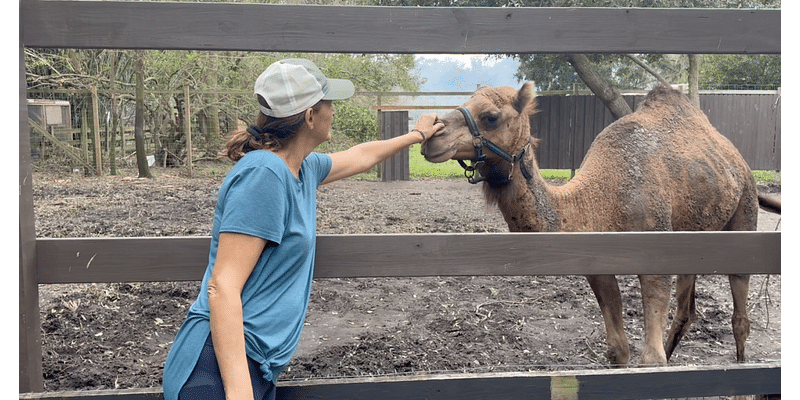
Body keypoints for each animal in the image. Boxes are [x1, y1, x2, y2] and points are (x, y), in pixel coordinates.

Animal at [424, 83, 780, 368]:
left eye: (491, 116)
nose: (432, 137)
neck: (601, 199)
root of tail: (735, 157)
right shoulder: (598, 268)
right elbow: (618, 349)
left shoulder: (655, 257)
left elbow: (651, 359)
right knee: (686, 311)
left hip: (744, 212)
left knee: (739, 315)